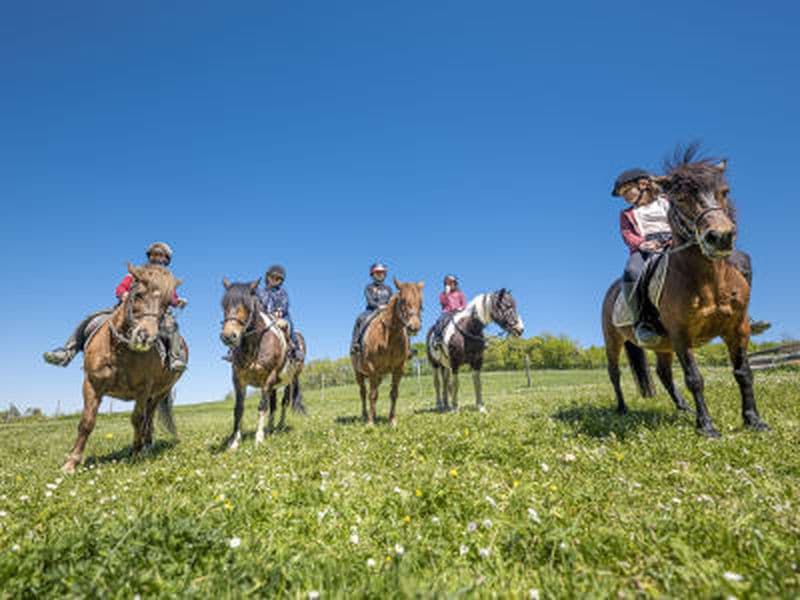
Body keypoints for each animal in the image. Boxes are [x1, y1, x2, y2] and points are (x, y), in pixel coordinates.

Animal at [62, 264, 186, 473]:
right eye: (139, 295)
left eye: (166, 304)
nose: (145, 337)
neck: (120, 350)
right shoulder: (92, 384)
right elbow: (87, 421)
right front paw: (71, 462)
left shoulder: (144, 389)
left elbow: (137, 419)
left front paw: (136, 454)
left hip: (160, 392)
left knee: (148, 418)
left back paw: (146, 446)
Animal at [220, 279, 306, 449]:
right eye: (224, 305)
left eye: (247, 306)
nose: (228, 336)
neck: (255, 346)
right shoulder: (238, 380)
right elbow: (239, 408)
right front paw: (234, 442)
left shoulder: (269, 378)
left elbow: (262, 406)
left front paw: (258, 439)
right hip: (274, 385)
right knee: (273, 404)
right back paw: (270, 428)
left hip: (289, 380)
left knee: (283, 403)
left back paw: (279, 427)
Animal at [351, 278, 424, 426]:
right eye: (403, 300)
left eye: (421, 302)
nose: (414, 327)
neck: (389, 337)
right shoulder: (372, 369)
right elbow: (372, 395)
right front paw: (370, 423)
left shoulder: (398, 369)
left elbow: (393, 393)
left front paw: (392, 421)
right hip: (359, 373)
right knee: (363, 392)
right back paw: (365, 415)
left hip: (379, 376)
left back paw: (374, 414)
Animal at [601, 147, 768, 437]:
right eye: (680, 198)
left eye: (725, 191)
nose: (720, 237)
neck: (711, 282)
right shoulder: (681, 334)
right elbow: (694, 378)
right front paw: (707, 427)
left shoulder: (738, 328)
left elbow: (744, 373)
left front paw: (753, 420)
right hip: (615, 341)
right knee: (615, 373)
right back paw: (622, 409)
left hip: (662, 345)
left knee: (663, 373)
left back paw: (683, 408)